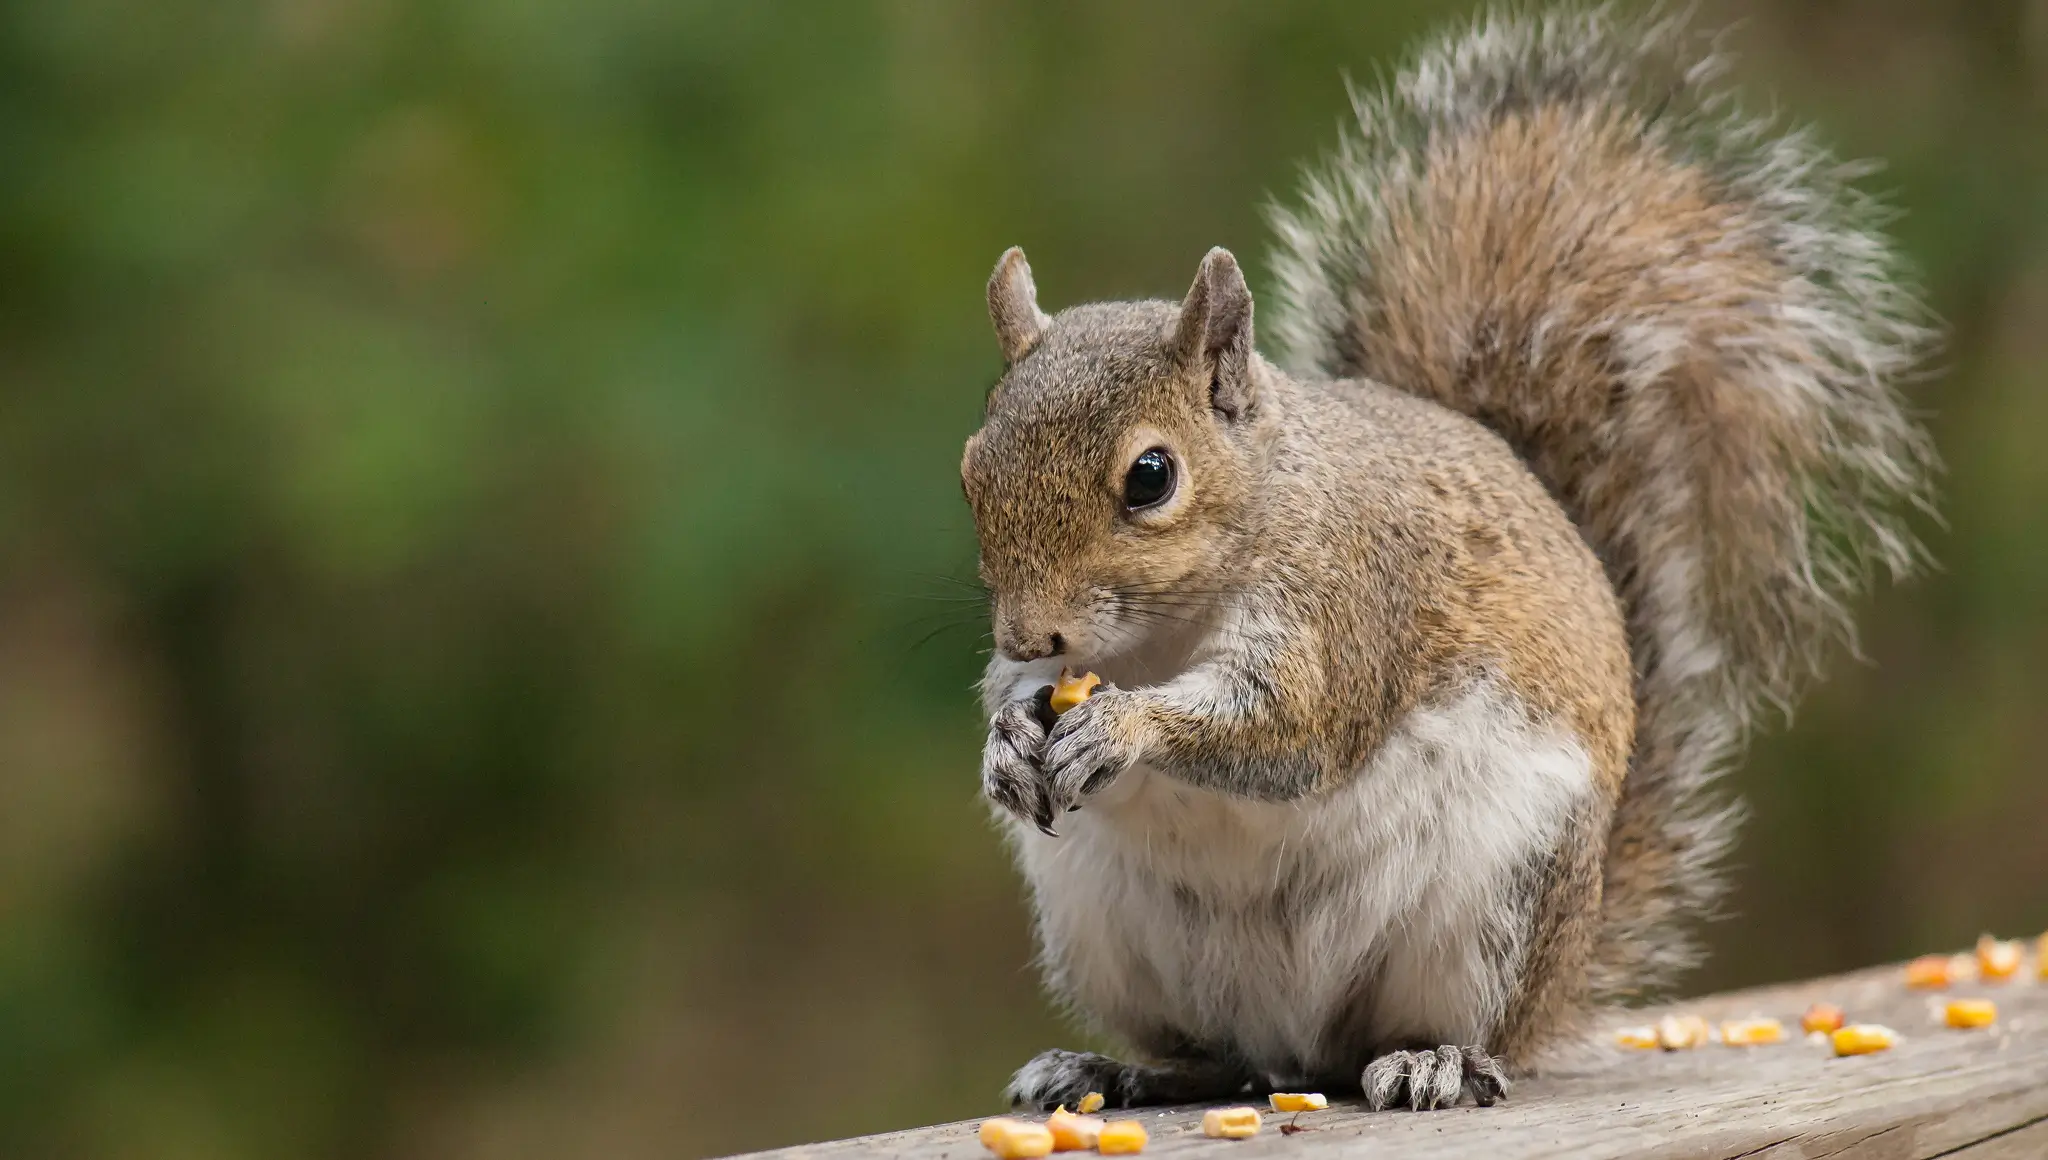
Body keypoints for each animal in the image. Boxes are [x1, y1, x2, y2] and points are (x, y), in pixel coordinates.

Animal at [960, 5, 1935, 1113]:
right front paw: (1006, 739)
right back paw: (1111, 1067)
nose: (1024, 631)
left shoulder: (1347, 607)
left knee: (1438, 1032)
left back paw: (1435, 1059)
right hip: (1106, 929)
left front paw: (1123, 726)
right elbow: (1030, 703)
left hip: (1495, 903)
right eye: (972, 464)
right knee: (1217, 1056)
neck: (1166, 630)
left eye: (1151, 478)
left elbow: (1288, 730)